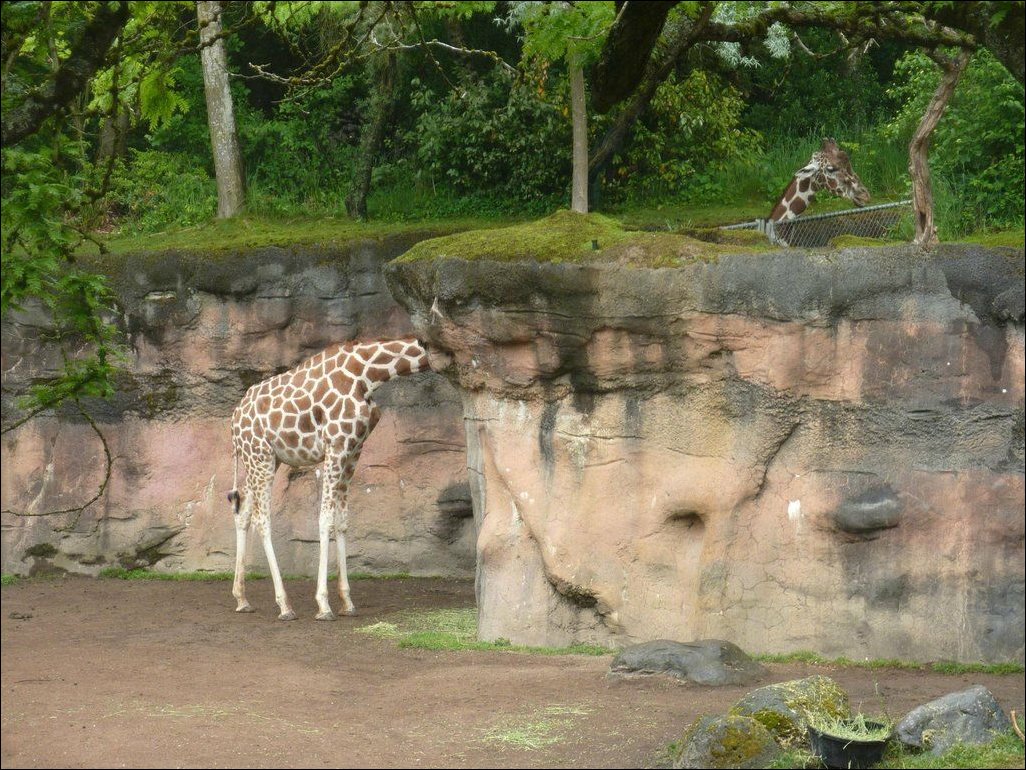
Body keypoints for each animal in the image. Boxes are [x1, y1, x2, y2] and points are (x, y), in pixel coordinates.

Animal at [226, 336, 430, 620]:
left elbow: (342, 520)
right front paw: (323, 605)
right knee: (261, 518)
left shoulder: (354, 449)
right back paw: (284, 605)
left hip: (265, 458)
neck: (367, 375)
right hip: (260, 456)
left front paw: (347, 602)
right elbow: (325, 519)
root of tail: (234, 420)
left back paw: (242, 598)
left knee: (243, 509)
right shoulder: (335, 446)